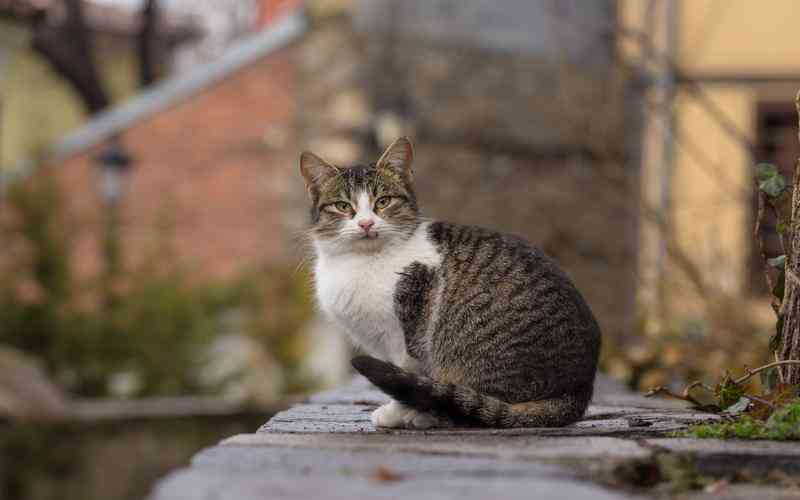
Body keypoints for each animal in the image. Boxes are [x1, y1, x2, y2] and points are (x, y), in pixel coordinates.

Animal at [300, 138, 600, 430]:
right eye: (343, 206)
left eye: (383, 202)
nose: (365, 223)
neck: (361, 260)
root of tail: (579, 390)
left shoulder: (406, 334)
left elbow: (408, 375)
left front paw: (396, 412)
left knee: (476, 404)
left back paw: (427, 415)